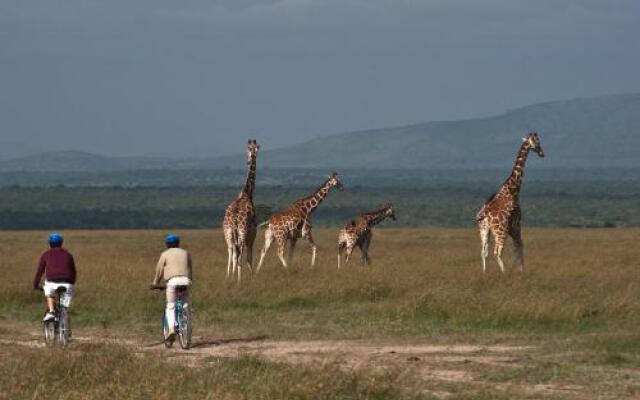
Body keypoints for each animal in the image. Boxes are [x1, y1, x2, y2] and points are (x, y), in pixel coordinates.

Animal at [221, 139, 258, 282]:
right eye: (248, 149)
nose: (248, 160)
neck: (247, 193)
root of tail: (234, 219)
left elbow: (235, 256)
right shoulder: (253, 233)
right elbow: (249, 256)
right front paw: (251, 275)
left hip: (228, 234)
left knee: (231, 252)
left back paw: (229, 276)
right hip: (241, 233)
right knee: (239, 252)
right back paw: (238, 279)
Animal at [476, 133, 544, 274]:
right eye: (537, 142)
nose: (542, 153)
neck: (513, 188)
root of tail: (485, 216)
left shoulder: (512, 228)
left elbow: (517, 247)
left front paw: (519, 269)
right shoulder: (516, 224)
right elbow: (519, 246)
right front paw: (521, 270)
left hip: (484, 230)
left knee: (484, 251)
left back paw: (485, 273)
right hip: (500, 231)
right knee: (497, 252)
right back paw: (504, 272)